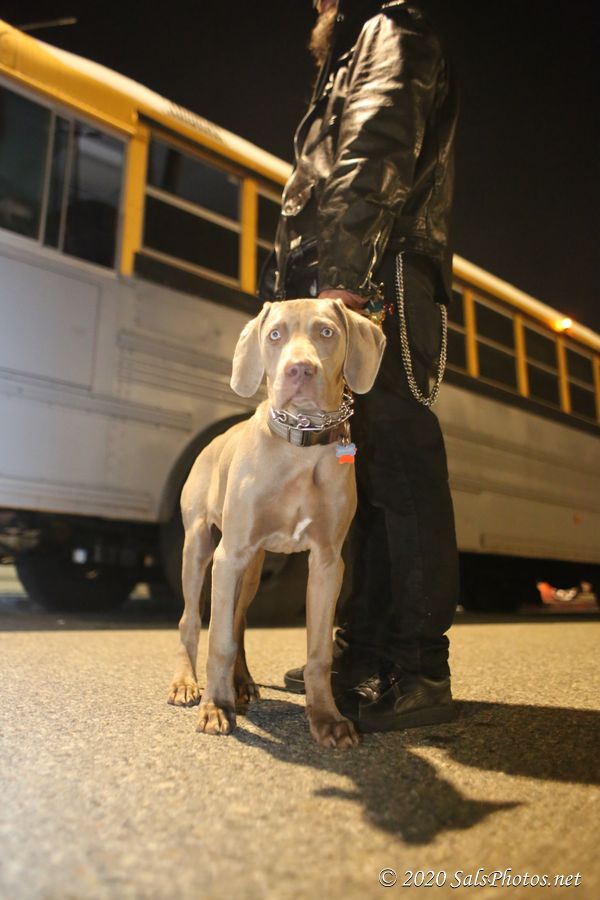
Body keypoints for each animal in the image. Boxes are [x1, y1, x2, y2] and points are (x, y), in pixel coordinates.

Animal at [168, 298, 386, 748]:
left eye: (326, 332)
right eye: (274, 335)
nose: (299, 370)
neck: (300, 445)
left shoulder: (327, 562)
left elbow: (318, 652)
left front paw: (328, 719)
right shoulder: (229, 554)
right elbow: (218, 640)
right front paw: (215, 708)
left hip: (251, 567)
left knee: (238, 619)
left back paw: (242, 683)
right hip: (200, 547)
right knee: (192, 618)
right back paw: (186, 683)